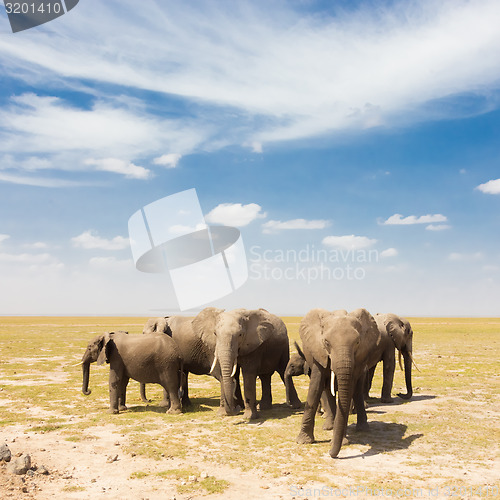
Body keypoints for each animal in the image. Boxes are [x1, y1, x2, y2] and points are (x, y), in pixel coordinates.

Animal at [294, 308, 380, 458]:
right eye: (326, 342)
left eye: (357, 342)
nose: (329, 453)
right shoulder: (318, 352)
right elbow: (315, 388)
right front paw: (303, 442)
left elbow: (349, 391)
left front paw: (342, 442)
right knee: (328, 391)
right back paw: (330, 427)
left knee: (356, 393)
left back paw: (362, 429)